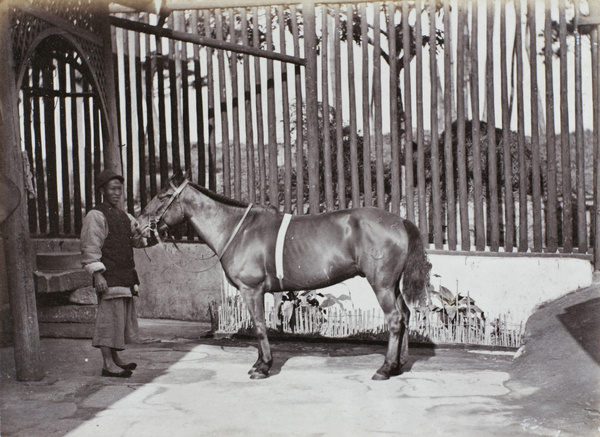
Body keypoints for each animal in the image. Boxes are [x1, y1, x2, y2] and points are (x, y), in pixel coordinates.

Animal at [137, 172, 432, 380]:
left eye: (163, 195)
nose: (137, 225)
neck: (238, 229)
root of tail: (399, 221)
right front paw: (259, 362)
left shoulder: (252, 289)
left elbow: (259, 325)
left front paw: (263, 367)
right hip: (392, 285)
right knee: (405, 315)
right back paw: (397, 365)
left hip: (381, 284)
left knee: (394, 319)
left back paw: (385, 368)